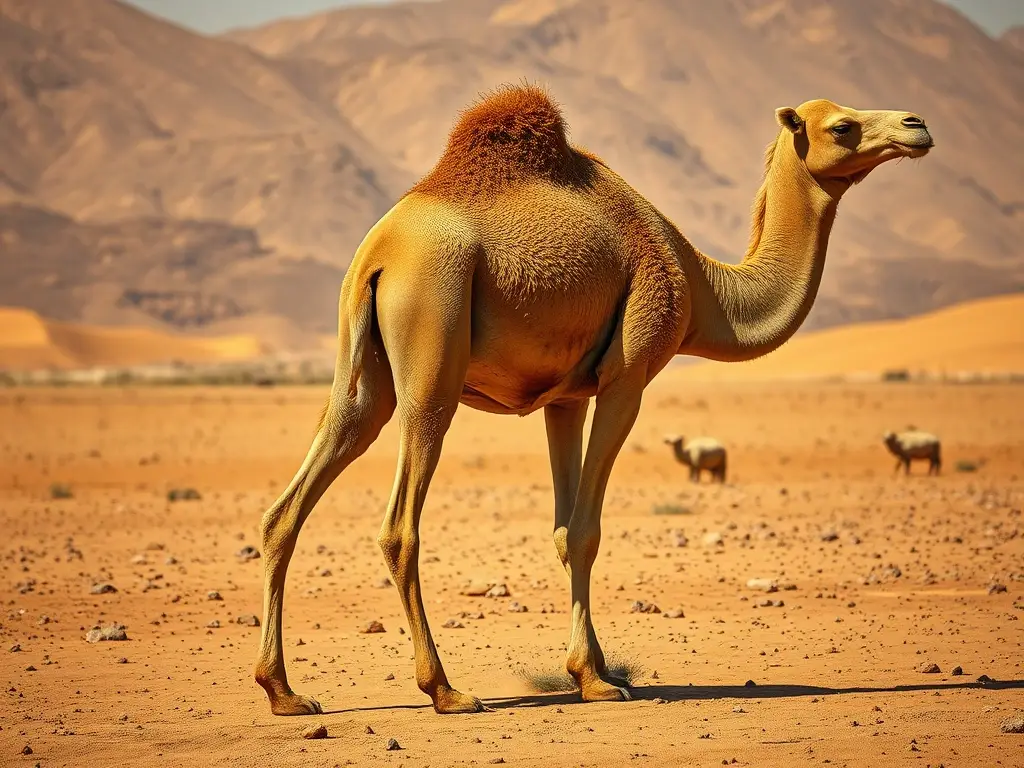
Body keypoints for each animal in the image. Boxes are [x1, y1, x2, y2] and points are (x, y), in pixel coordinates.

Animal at [253, 85, 932, 715]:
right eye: (842, 126)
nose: (917, 125)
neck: (702, 290)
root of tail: (377, 257)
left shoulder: (565, 397)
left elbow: (561, 530)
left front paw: (593, 669)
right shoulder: (627, 377)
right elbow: (585, 531)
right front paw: (597, 680)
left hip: (362, 377)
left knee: (289, 503)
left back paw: (283, 690)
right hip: (431, 351)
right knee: (400, 524)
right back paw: (444, 689)